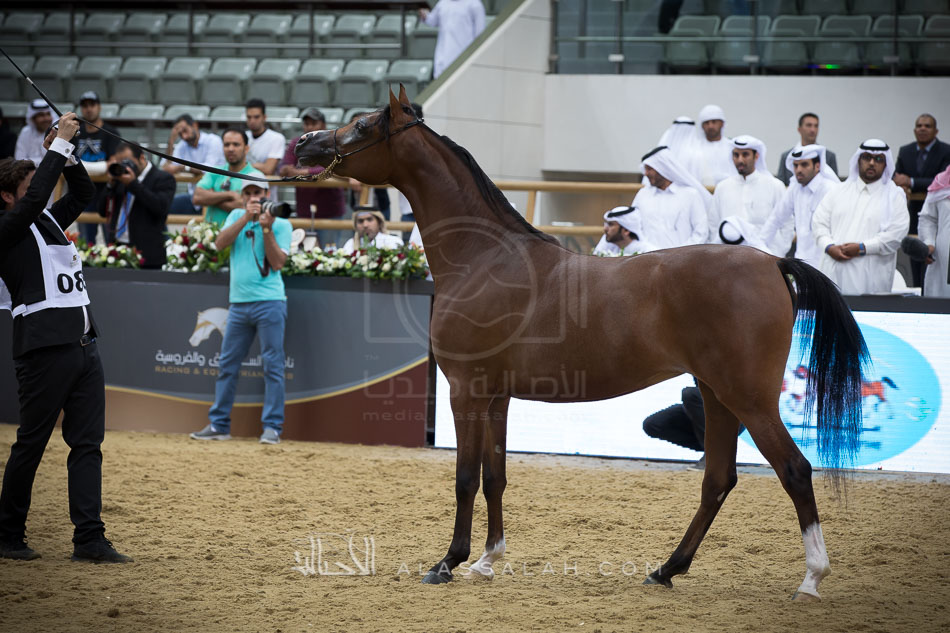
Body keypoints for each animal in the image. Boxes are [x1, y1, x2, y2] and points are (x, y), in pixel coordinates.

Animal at [295, 86, 869, 601]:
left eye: (363, 126)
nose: (305, 144)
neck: (484, 257)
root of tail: (772, 261)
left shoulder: (465, 390)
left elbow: (463, 478)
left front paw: (448, 562)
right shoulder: (497, 396)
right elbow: (494, 476)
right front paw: (487, 560)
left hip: (748, 397)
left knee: (794, 471)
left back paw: (811, 579)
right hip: (715, 394)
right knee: (718, 479)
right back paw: (666, 570)